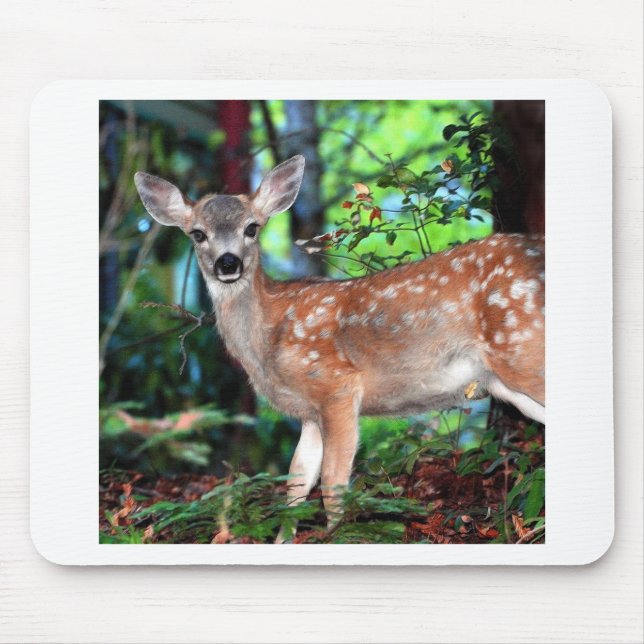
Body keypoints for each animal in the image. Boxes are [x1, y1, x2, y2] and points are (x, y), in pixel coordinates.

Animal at [134, 155, 545, 542]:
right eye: (197, 233)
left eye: (252, 227)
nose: (228, 262)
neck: (267, 342)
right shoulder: (309, 412)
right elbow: (297, 482)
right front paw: (284, 539)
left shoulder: (336, 385)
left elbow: (333, 482)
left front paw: (338, 536)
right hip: (508, 381)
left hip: (523, 345)